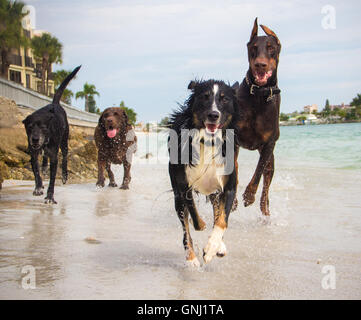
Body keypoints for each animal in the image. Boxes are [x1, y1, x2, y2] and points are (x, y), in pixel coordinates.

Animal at [23, 66, 81, 204]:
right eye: (30, 127)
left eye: (43, 127)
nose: (35, 139)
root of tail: (55, 104)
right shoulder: (33, 154)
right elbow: (36, 173)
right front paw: (38, 187)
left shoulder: (54, 157)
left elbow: (52, 179)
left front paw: (50, 196)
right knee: (44, 159)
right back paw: (44, 167)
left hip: (64, 142)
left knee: (64, 158)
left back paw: (64, 175)